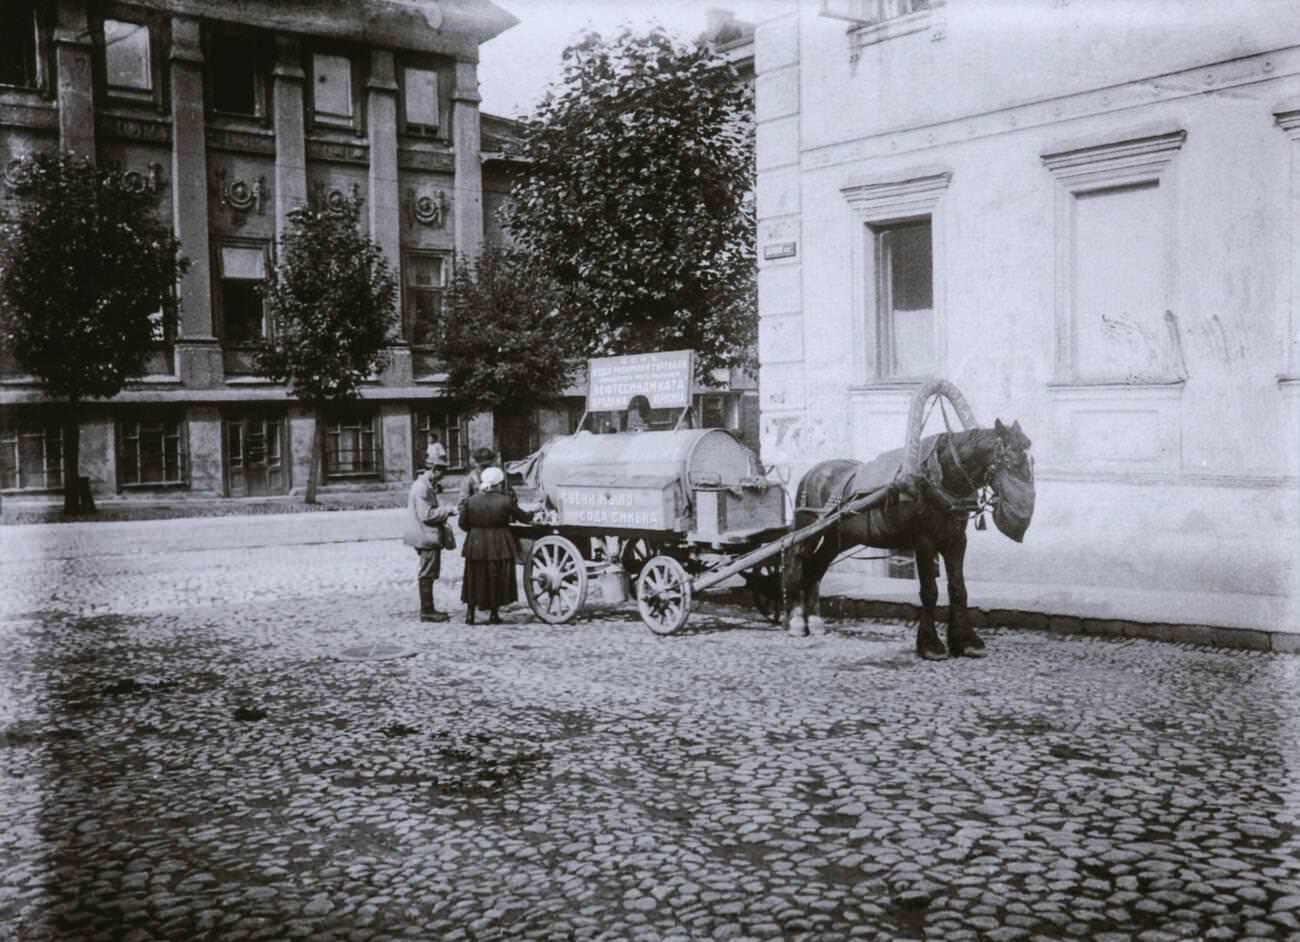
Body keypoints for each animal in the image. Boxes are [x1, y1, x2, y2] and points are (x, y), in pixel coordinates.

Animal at [780, 418, 1034, 662]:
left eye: (1030, 459)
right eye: (1010, 460)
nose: (1022, 515)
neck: (940, 479)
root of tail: (813, 472)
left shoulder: (956, 541)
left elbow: (958, 589)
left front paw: (966, 642)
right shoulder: (923, 541)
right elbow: (930, 591)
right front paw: (930, 646)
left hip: (836, 538)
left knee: (816, 569)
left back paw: (814, 622)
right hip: (809, 530)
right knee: (796, 562)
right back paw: (796, 621)